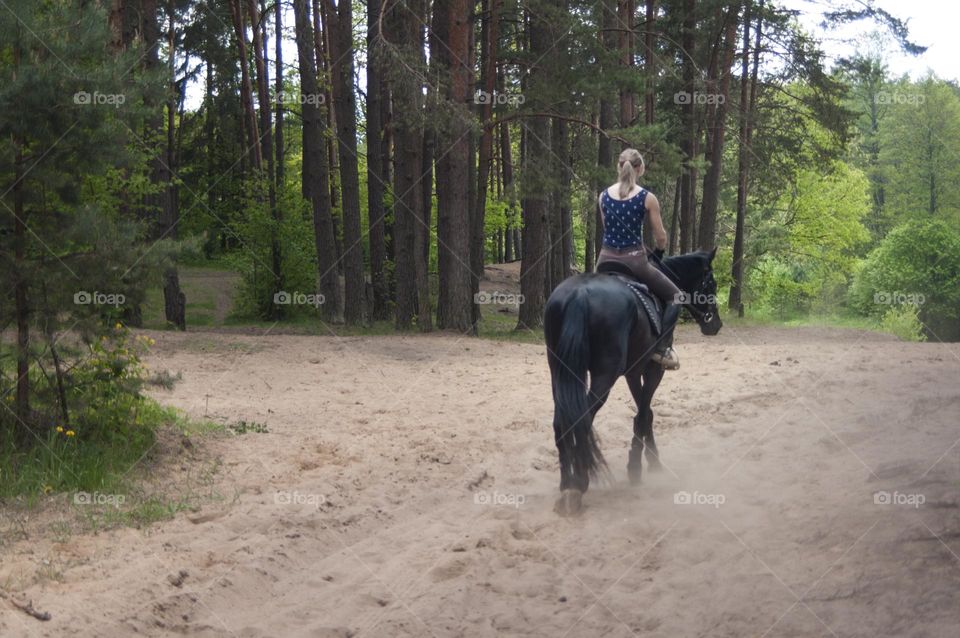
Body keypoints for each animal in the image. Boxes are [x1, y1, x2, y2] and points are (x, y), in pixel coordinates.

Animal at [544, 248, 724, 516]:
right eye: (711, 283)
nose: (716, 324)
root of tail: (579, 294)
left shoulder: (632, 371)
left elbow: (645, 412)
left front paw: (651, 460)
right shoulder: (653, 369)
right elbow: (644, 413)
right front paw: (637, 467)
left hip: (560, 372)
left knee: (561, 421)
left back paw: (567, 483)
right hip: (603, 376)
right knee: (582, 418)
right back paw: (579, 483)